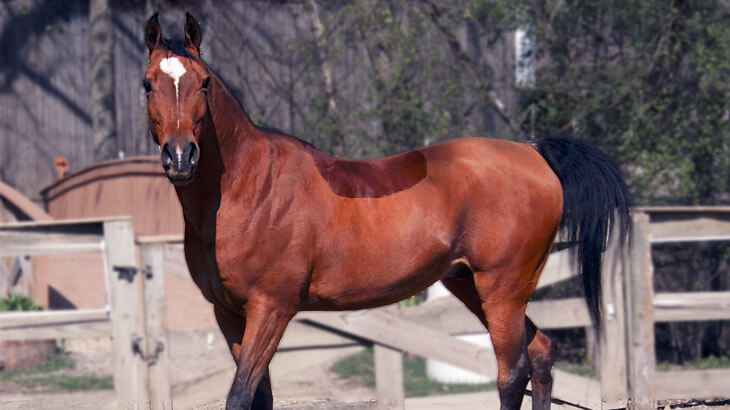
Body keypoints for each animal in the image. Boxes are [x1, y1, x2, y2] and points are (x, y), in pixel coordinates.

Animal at [143, 13, 630, 410]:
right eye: (148, 84)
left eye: (204, 83)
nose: (181, 157)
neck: (250, 189)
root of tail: (532, 151)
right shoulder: (228, 314)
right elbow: (258, 397)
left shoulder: (271, 309)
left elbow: (240, 396)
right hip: (471, 284)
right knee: (542, 354)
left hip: (503, 288)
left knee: (513, 375)